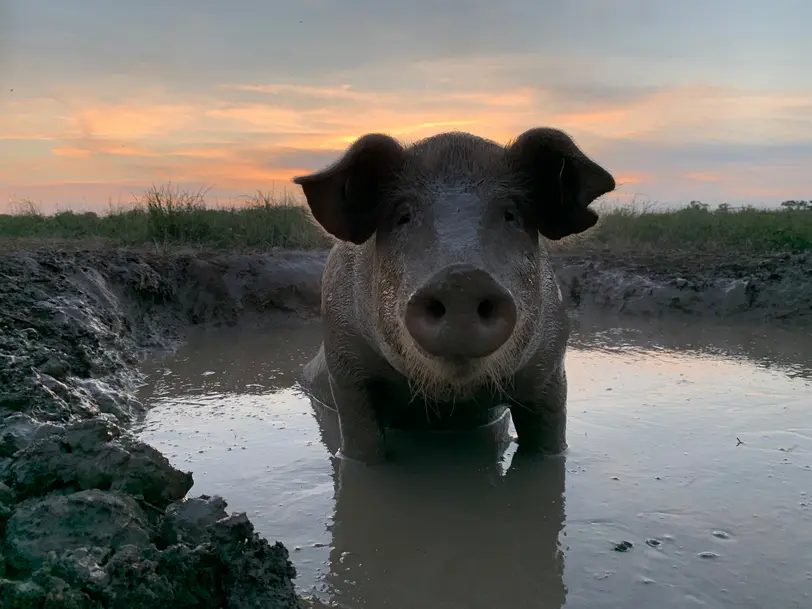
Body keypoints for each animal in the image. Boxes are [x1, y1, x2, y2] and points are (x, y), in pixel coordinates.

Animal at [294, 127, 616, 460]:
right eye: (403, 216)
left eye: (511, 214)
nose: (461, 277)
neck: (449, 402)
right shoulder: (344, 365)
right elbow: (362, 448)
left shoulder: (549, 368)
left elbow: (548, 445)